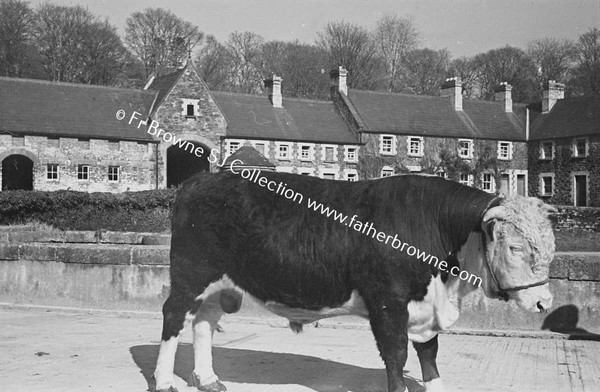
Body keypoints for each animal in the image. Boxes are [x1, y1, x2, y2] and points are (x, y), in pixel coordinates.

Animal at [152, 172, 556, 392]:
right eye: (515, 247)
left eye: (551, 245)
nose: (545, 303)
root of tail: (200, 180)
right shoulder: (387, 303)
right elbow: (396, 357)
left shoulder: (426, 308)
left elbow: (429, 358)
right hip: (190, 274)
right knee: (173, 318)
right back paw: (164, 381)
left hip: (217, 283)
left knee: (203, 322)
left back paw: (207, 378)